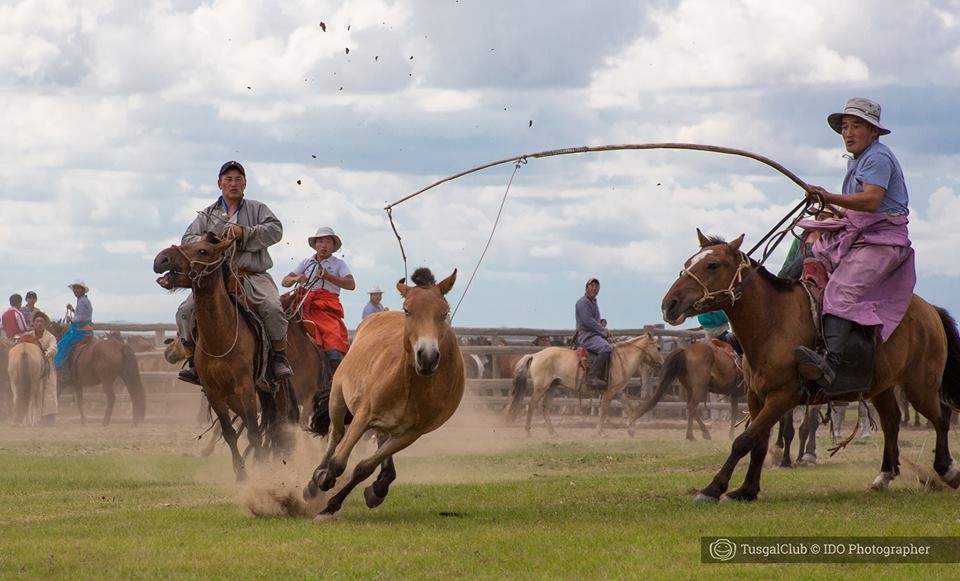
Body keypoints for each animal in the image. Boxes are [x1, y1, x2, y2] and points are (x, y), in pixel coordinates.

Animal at [154, 231, 298, 480]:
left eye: (203, 251)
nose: (161, 259)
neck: (220, 336)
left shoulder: (245, 387)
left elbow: (253, 433)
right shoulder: (214, 392)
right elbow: (231, 432)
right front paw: (241, 473)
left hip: (274, 391)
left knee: (277, 427)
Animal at [302, 268, 464, 516]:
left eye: (444, 312)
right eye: (408, 310)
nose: (427, 357)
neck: (410, 385)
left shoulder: (409, 434)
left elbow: (364, 468)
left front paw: (333, 504)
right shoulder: (363, 416)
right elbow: (338, 462)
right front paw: (322, 481)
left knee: (376, 441)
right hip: (337, 399)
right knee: (335, 434)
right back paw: (315, 480)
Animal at [506, 334, 664, 438]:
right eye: (658, 348)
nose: (661, 364)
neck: (622, 359)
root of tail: (535, 355)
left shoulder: (617, 392)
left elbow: (630, 406)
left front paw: (631, 429)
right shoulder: (609, 392)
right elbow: (604, 412)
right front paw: (600, 432)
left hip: (552, 386)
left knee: (545, 407)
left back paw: (553, 432)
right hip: (541, 387)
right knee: (532, 405)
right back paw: (528, 431)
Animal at [660, 229, 960, 500]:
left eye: (712, 265)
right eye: (688, 262)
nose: (669, 304)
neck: (774, 322)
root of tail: (930, 311)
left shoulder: (783, 396)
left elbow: (744, 440)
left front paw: (713, 489)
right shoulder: (756, 396)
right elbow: (758, 442)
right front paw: (747, 490)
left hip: (920, 386)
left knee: (941, 416)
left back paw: (947, 471)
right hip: (883, 387)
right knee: (892, 422)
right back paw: (884, 476)